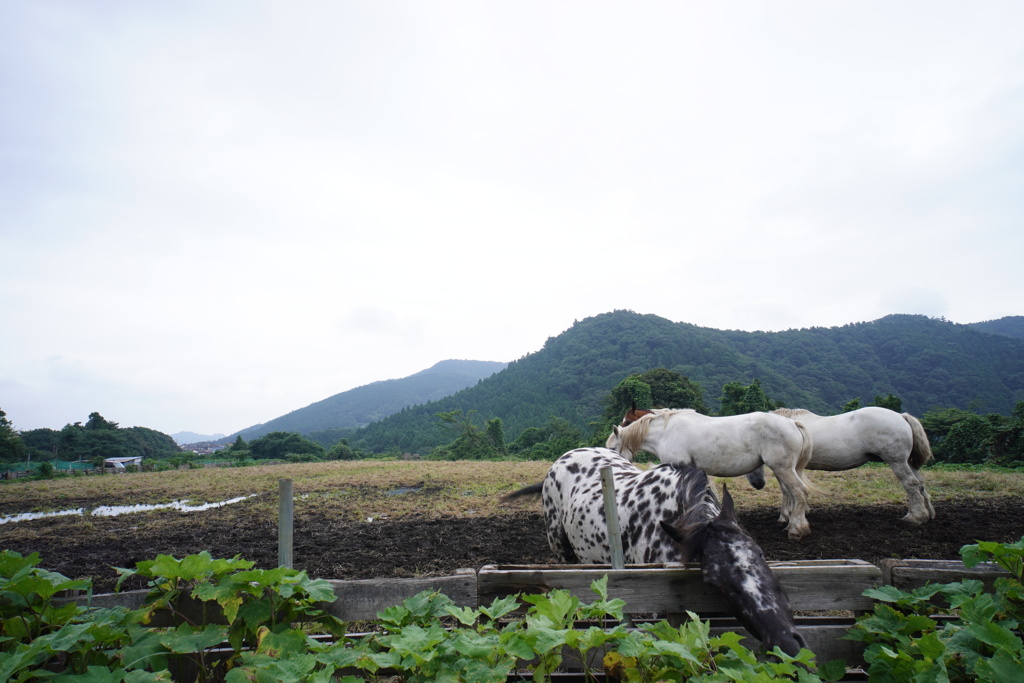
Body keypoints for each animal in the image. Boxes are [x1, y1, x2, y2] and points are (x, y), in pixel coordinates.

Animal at [602, 411, 811, 540]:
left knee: (800, 493)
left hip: (783, 469)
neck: (666, 433)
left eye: (613, 448)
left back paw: (796, 530)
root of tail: (792, 423)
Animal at [745, 409, 937, 528]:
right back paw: (928, 513)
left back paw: (914, 516)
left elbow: (786, 490)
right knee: (920, 483)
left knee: (910, 484)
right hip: (907, 462)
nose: (758, 484)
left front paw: (785, 516)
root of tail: (901, 416)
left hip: (897, 461)